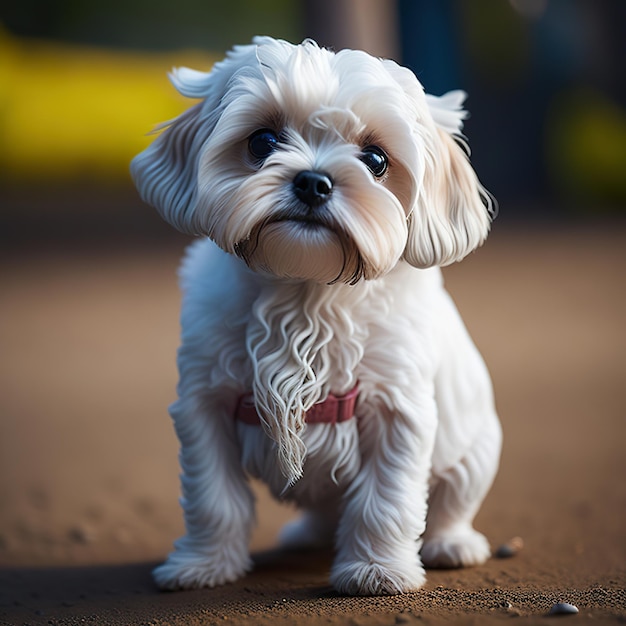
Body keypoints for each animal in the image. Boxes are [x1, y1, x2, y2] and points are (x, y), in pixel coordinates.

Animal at [129, 35, 500, 596]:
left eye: (375, 159)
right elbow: (214, 500)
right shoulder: (204, 404)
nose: (313, 182)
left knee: (451, 505)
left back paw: (451, 544)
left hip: (473, 451)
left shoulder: (398, 411)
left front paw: (375, 570)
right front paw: (203, 564)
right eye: (262, 141)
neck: (306, 292)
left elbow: (384, 503)